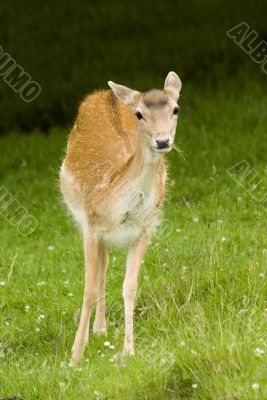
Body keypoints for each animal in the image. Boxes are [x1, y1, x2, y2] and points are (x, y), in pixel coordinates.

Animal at [60, 70, 182, 364]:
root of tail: (107, 94)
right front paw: (75, 356)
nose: (162, 141)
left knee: (104, 266)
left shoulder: (144, 229)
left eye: (175, 108)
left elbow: (130, 287)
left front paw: (128, 351)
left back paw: (100, 329)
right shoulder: (91, 226)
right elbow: (88, 288)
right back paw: (94, 332)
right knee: (99, 272)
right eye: (139, 114)